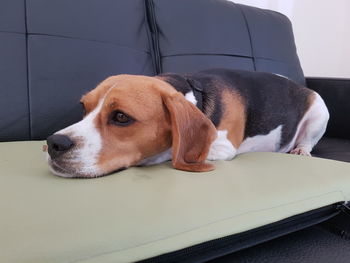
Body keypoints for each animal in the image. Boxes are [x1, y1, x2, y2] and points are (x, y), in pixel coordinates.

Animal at [45, 69, 330, 178]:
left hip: (320, 111)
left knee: (308, 140)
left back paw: (301, 149)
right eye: (84, 108)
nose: (53, 143)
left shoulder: (223, 147)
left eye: (121, 117)